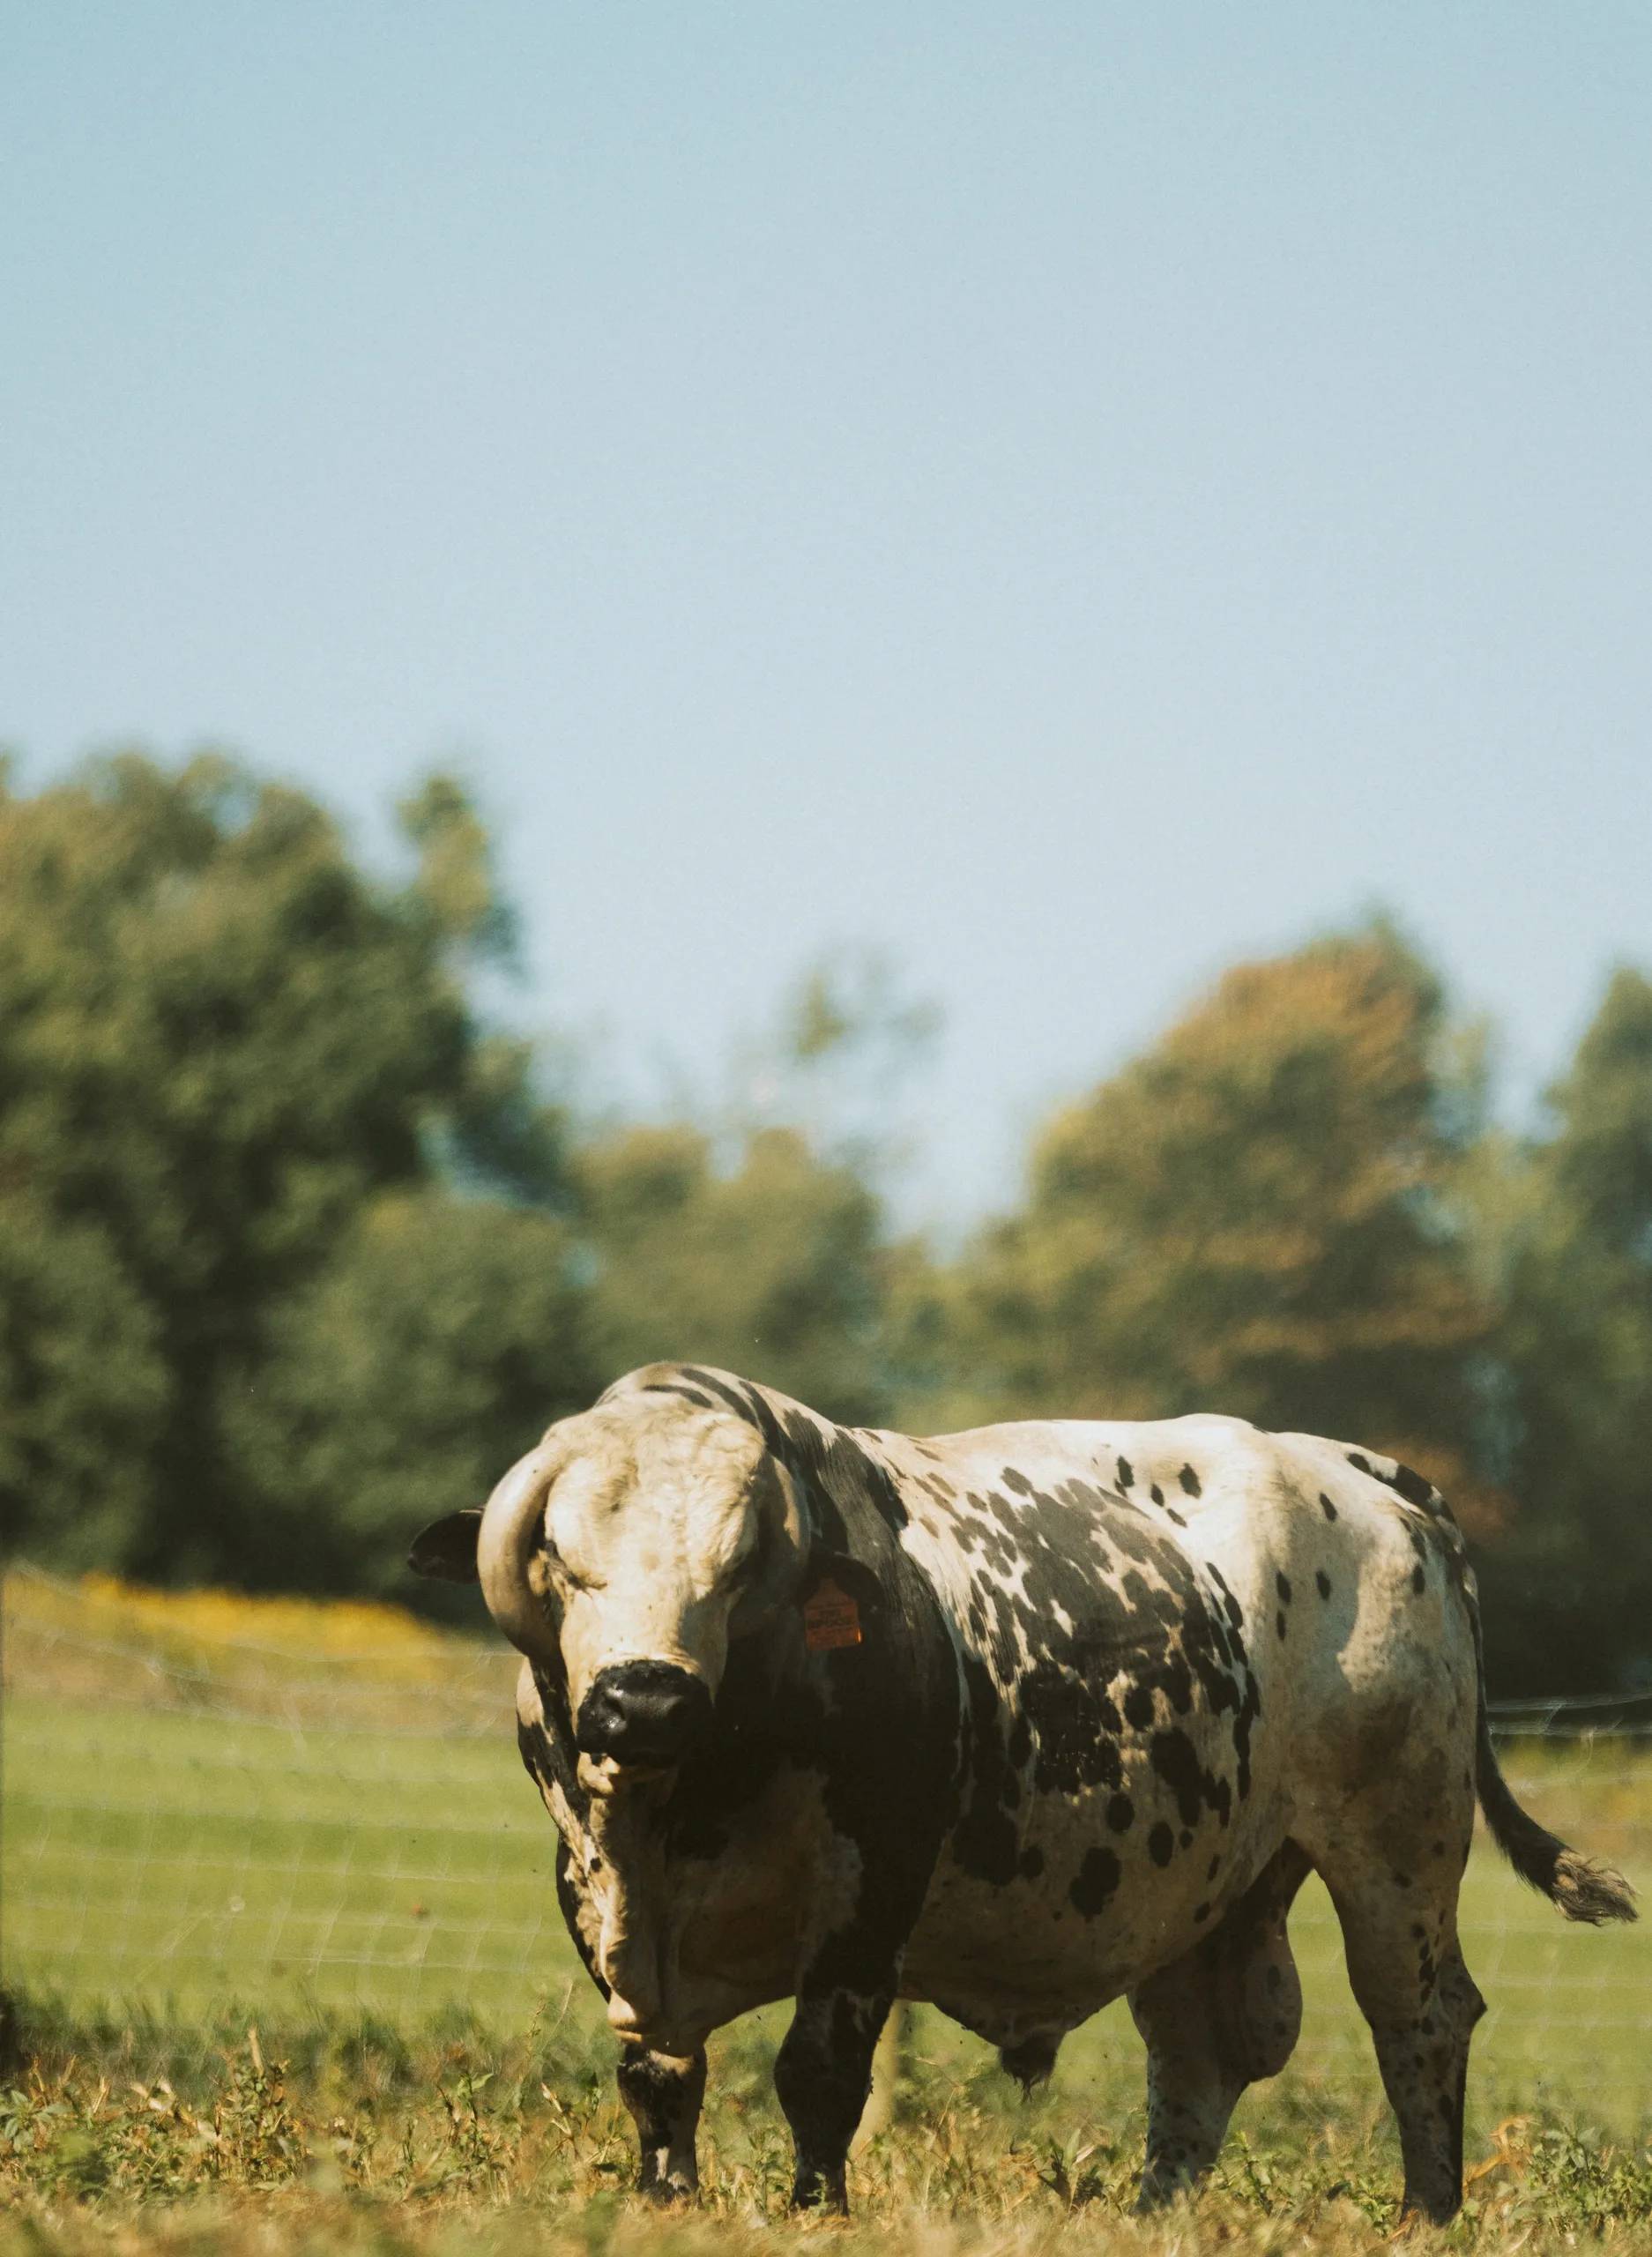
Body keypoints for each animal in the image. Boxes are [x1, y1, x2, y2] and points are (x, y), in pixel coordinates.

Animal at [409, 1362, 1635, 2221]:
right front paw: (667, 2206)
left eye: (736, 1567)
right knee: (1201, 2048)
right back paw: (1155, 2219)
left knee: (1417, 2019)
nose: (645, 1700)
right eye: (562, 1558)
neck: (686, 1804)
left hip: (1397, 1845)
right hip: (1212, 1879)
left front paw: (816, 2213)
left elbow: (817, 2076)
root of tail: (1361, 1472)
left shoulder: (871, 1900)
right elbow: (659, 2079)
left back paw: (1424, 2215)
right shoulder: (595, 1897)